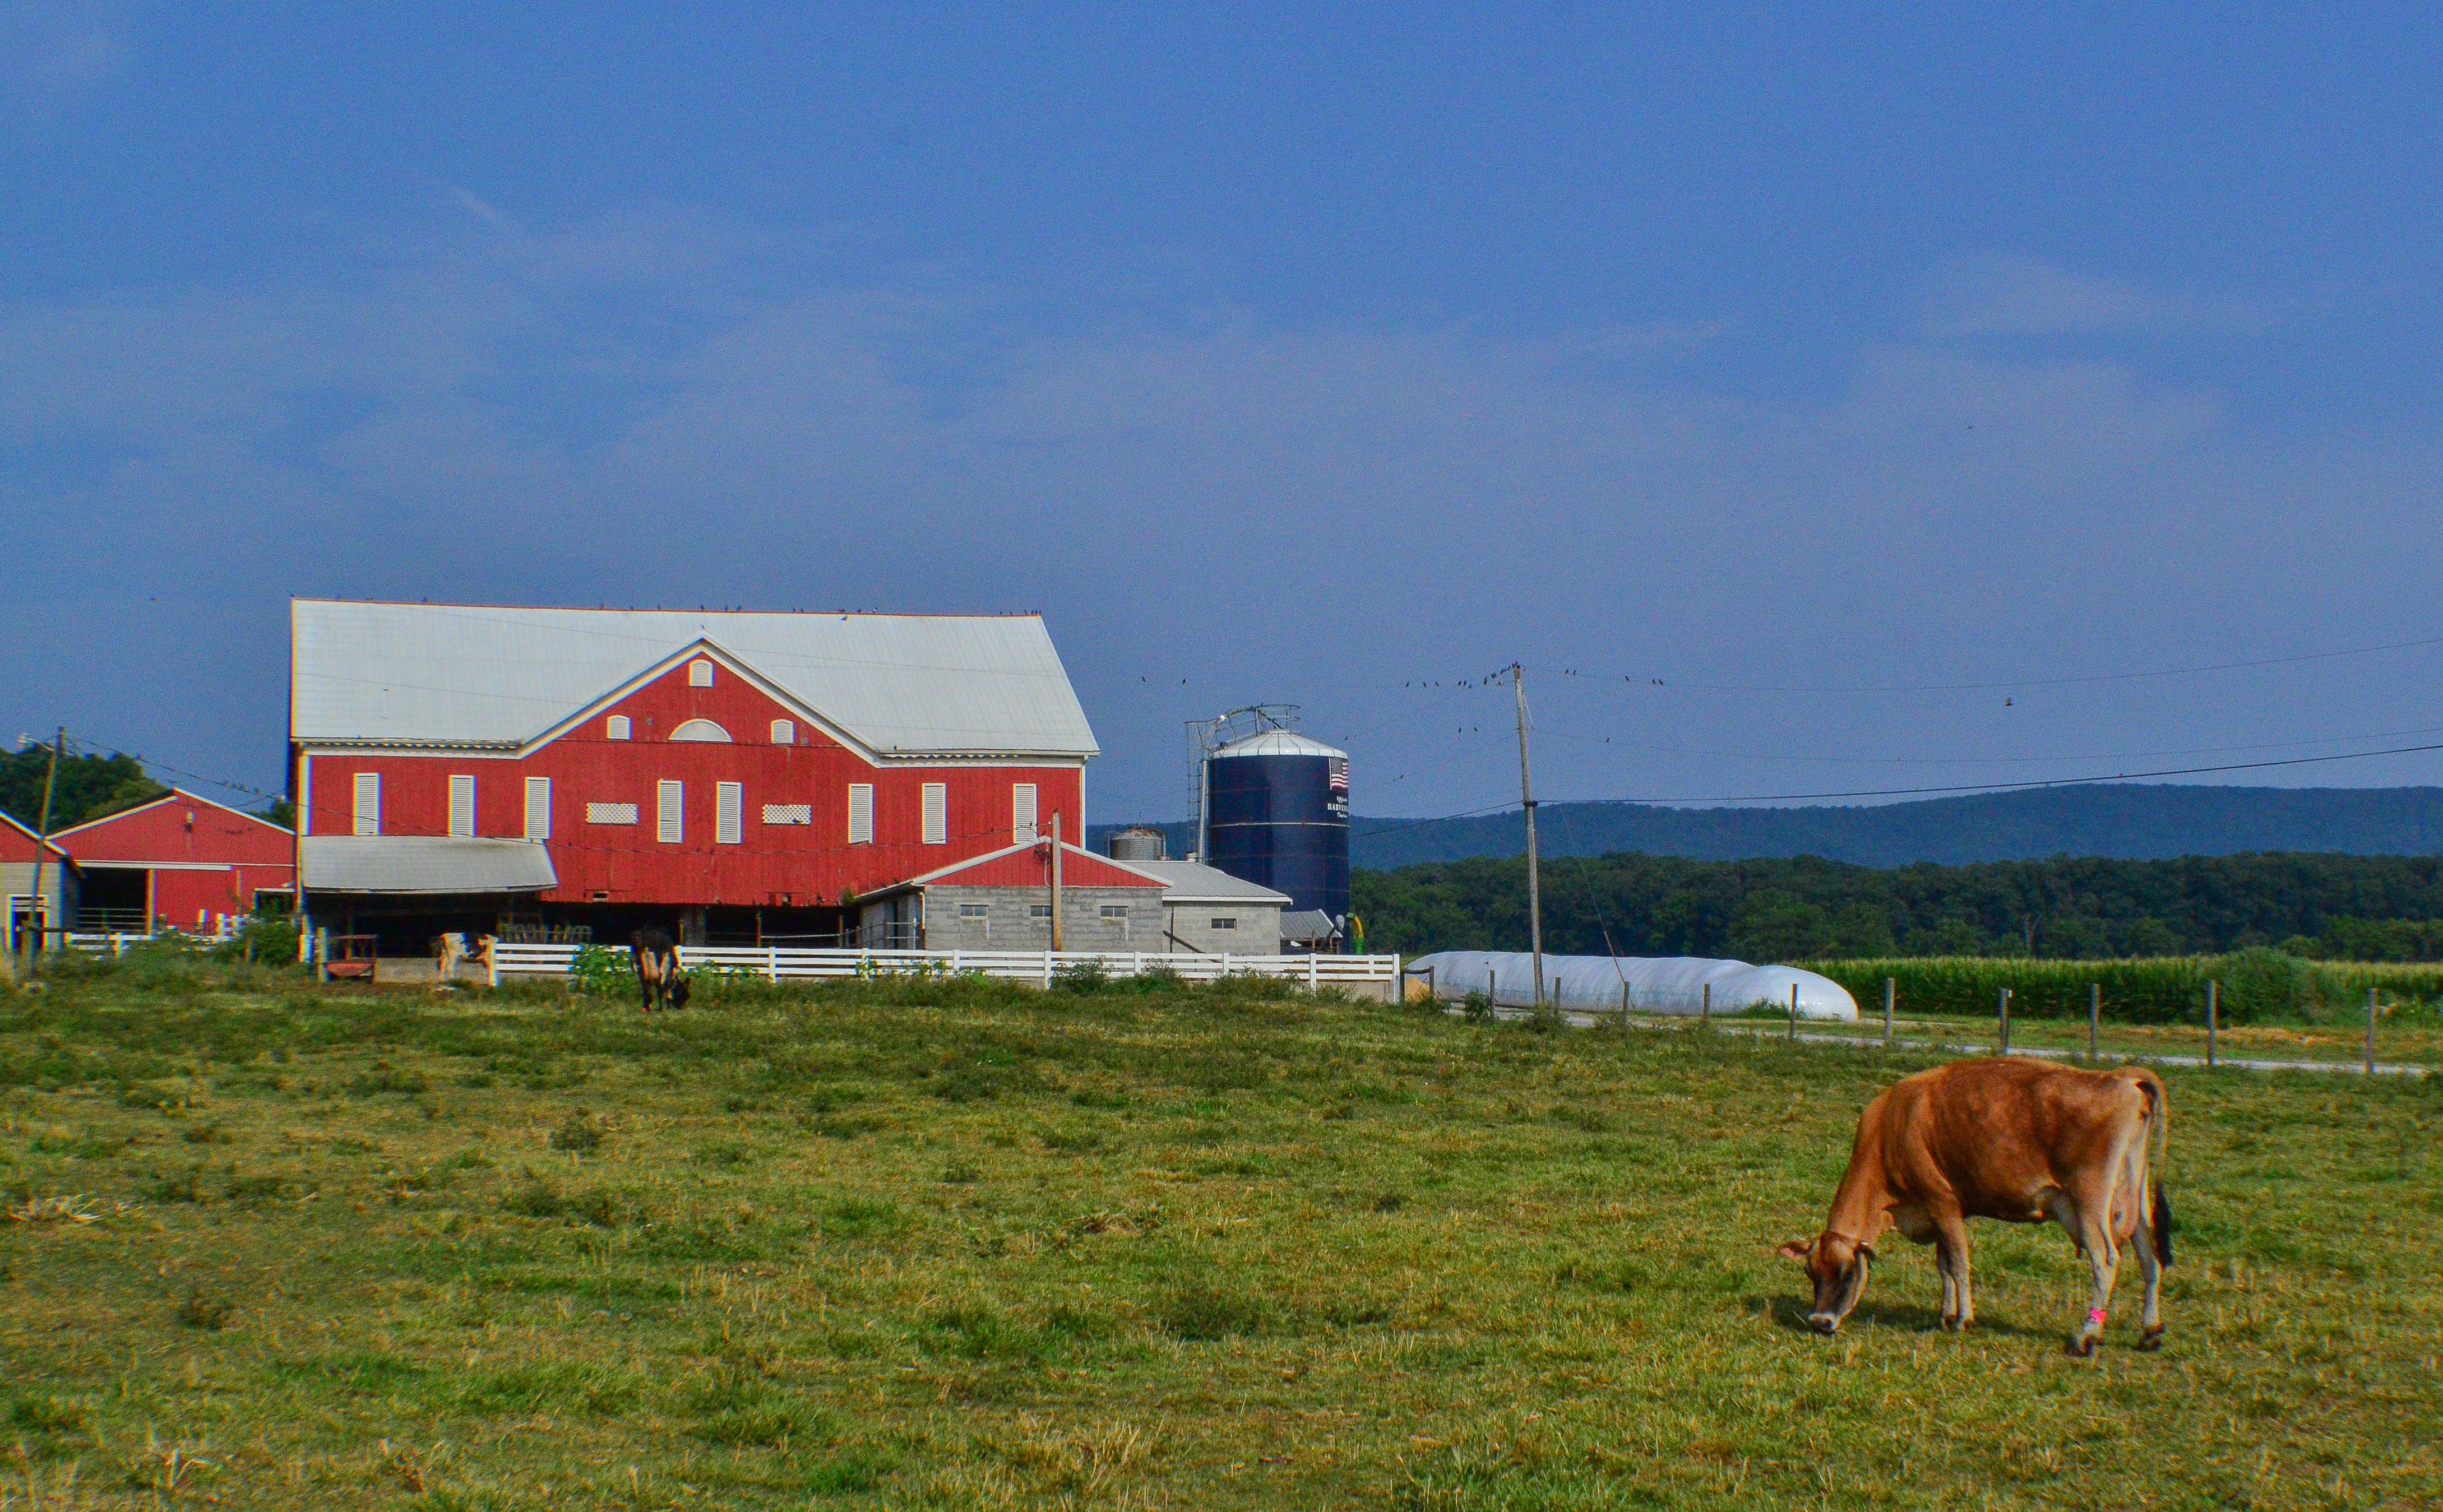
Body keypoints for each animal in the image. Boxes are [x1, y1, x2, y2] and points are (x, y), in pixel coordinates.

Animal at [632, 927, 690, 1012]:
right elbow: (667, 985)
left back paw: (646, 1007)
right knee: (657, 985)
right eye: (683, 994)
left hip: (640, 964)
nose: (681, 1007)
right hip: (657, 965)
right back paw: (660, 1008)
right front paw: (667, 1006)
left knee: (645, 985)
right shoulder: (667, 970)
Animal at [1778, 1057, 2171, 1355]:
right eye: (1810, 1273)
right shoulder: (1936, 1212)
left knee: (2106, 1260)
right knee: (2150, 1256)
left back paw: (2085, 1337)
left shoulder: (1942, 1202)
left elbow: (1959, 1263)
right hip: (2135, 1199)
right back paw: (2149, 1331)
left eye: (1847, 1273)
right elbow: (1944, 1266)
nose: (1819, 1321)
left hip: (2090, 1202)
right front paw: (1945, 1315)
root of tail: (2121, 1077)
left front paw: (1963, 1319)